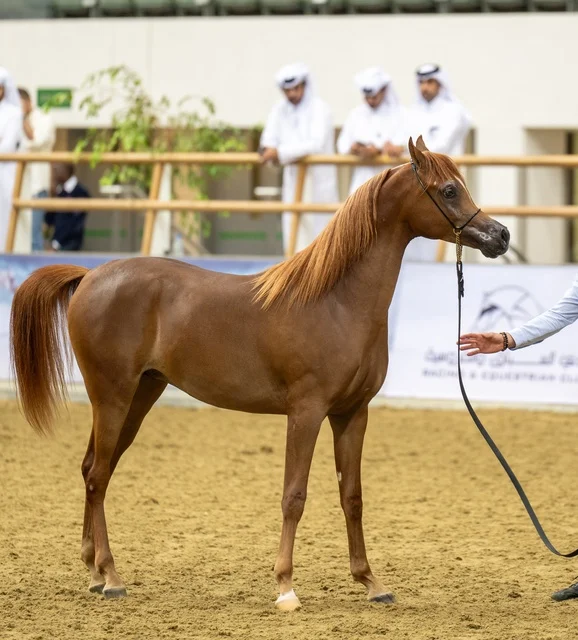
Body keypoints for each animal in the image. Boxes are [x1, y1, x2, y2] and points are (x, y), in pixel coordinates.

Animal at [10, 137, 509, 611]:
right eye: (449, 189)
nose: (500, 235)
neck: (337, 301)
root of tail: (89, 276)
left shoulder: (352, 413)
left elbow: (352, 497)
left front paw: (371, 583)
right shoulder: (306, 413)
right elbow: (294, 496)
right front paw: (286, 587)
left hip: (140, 396)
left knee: (95, 469)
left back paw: (94, 571)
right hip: (111, 396)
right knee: (97, 476)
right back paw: (112, 577)